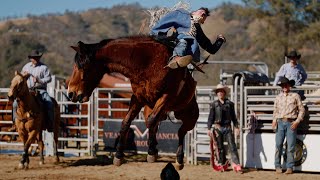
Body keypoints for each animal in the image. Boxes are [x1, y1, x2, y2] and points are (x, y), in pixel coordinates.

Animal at [68, 35, 198, 169]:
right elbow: (126, 123)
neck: (147, 62)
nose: (71, 93)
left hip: (190, 117)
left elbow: (151, 121)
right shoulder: (138, 98)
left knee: (181, 131)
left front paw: (152, 151)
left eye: (82, 66)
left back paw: (179, 159)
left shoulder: (167, 96)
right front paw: (119, 155)